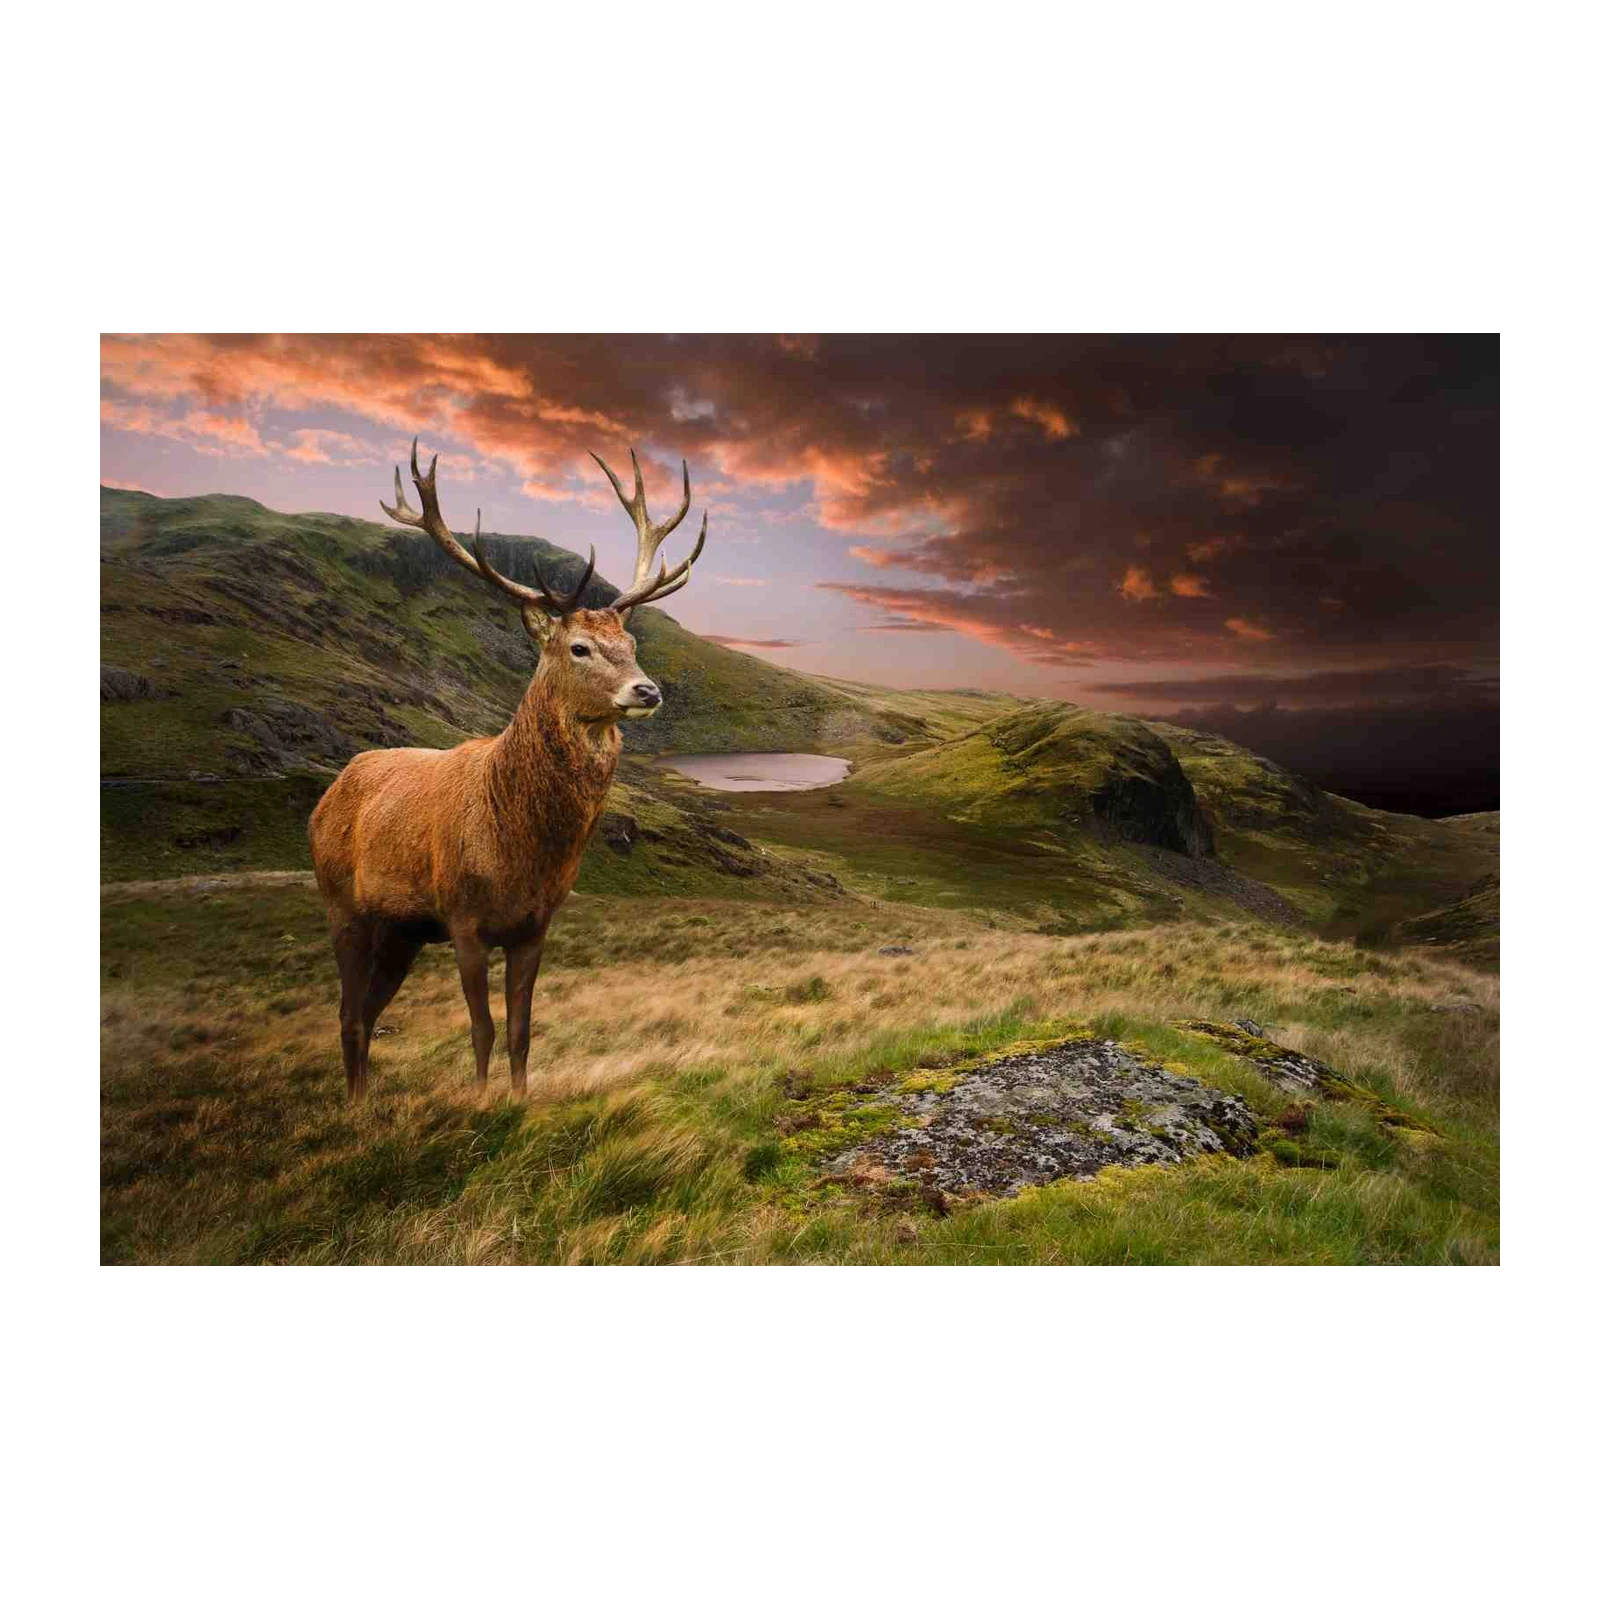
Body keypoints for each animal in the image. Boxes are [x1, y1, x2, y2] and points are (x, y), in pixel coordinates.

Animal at [308, 439, 707, 1101]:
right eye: (579, 648)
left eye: (630, 643)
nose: (648, 690)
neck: (516, 849)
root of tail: (326, 796)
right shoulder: (463, 918)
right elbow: (483, 1029)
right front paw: (480, 1102)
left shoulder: (534, 925)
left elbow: (522, 1028)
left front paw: (519, 1101)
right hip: (343, 904)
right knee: (347, 1015)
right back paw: (353, 1107)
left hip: (401, 932)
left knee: (367, 1011)